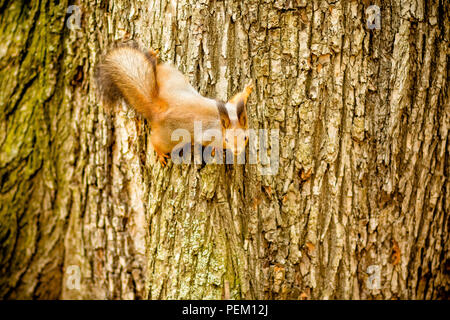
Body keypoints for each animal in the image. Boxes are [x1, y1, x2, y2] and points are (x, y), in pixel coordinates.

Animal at [94, 43, 251, 166]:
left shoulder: (231, 107)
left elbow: (236, 98)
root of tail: (158, 108)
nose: (237, 151)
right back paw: (160, 154)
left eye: (245, 137)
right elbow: (205, 141)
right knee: (155, 141)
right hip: (168, 138)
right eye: (226, 139)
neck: (222, 123)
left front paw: (248, 90)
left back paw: (153, 56)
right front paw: (216, 149)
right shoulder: (207, 134)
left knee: (156, 68)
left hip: (170, 76)